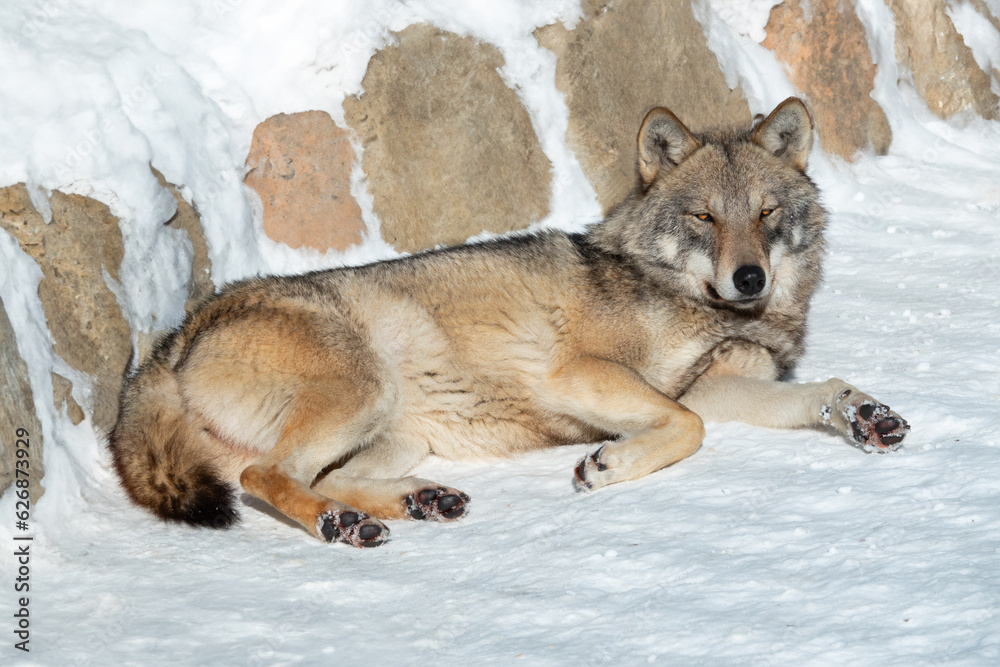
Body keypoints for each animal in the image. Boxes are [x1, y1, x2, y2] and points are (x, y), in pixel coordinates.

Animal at [109, 98, 909, 547]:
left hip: (393, 432)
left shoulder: (712, 384)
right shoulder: (585, 374)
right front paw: (606, 464)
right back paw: (342, 524)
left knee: (317, 475)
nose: (750, 278)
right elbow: (688, 429)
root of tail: (172, 340)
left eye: (766, 214)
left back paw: (416, 502)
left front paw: (862, 412)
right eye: (705, 218)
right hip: (364, 392)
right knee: (262, 475)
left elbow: (811, 391)